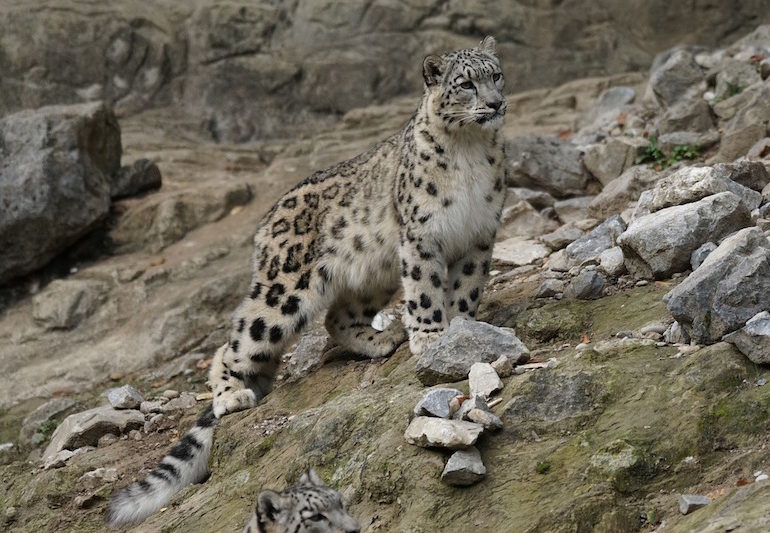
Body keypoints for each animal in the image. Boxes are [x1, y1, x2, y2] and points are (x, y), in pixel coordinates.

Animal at [106, 35, 504, 524]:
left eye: (496, 75)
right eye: (466, 84)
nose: (495, 103)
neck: (470, 152)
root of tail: (263, 225)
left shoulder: (478, 235)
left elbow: (465, 290)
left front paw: (465, 328)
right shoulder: (421, 236)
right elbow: (426, 290)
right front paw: (432, 337)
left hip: (371, 274)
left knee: (336, 319)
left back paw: (378, 339)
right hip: (281, 294)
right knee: (233, 344)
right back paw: (231, 395)